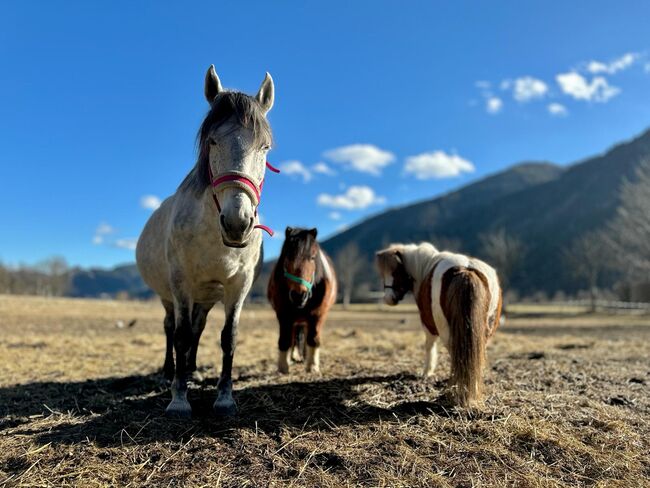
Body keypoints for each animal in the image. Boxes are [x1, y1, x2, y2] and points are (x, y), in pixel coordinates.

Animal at [138, 66, 274, 420]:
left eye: (265, 147)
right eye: (213, 141)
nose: (238, 223)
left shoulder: (238, 285)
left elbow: (228, 338)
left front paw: (224, 397)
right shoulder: (181, 283)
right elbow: (181, 336)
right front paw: (179, 398)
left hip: (206, 297)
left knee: (197, 328)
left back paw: (193, 370)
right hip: (170, 296)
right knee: (171, 327)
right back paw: (171, 372)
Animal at [268, 228, 336, 374]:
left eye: (312, 257)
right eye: (288, 257)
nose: (299, 296)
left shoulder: (318, 314)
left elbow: (313, 339)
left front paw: (313, 366)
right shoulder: (283, 315)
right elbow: (285, 340)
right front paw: (283, 366)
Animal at [374, 242, 502, 406]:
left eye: (396, 271)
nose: (388, 299)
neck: (425, 265)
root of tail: (466, 270)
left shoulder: (428, 324)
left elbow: (429, 346)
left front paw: (427, 373)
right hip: (484, 331)